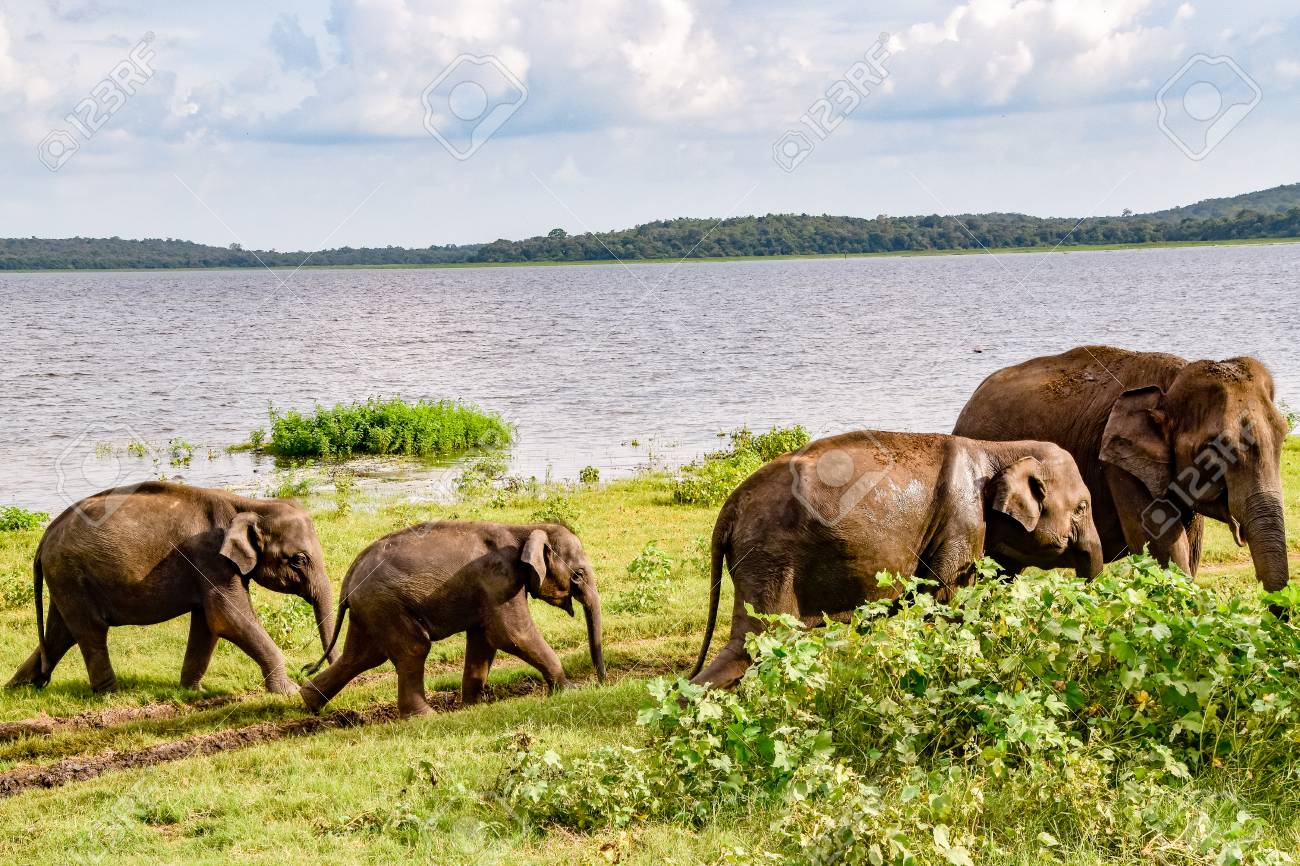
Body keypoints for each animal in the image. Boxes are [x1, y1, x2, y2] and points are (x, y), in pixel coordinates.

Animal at [6, 481, 336, 695]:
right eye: (298, 560)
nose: (308, 669)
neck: (249, 505)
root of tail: (46, 536)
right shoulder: (211, 559)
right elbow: (227, 617)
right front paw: (289, 691)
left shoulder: (208, 568)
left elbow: (208, 623)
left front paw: (194, 692)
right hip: (71, 574)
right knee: (90, 632)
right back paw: (111, 694)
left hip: (65, 578)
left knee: (60, 633)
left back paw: (19, 687)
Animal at [301, 520, 606, 718]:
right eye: (578, 575)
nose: (601, 683)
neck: (525, 528)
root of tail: (350, 575)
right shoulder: (499, 581)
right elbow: (510, 634)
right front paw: (570, 690)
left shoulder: (487, 591)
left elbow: (484, 640)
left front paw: (472, 706)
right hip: (385, 604)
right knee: (413, 649)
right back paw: (425, 717)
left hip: (371, 608)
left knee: (362, 656)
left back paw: (310, 703)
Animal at [690, 430, 1103, 688]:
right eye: (1083, 507)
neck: (996, 449)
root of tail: (730, 506)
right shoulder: (962, 522)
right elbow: (948, 600)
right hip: (769, 560)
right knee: (754, 644)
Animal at [953, 346, 1290, 593]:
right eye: (1212, 450)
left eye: (1283, 434)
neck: (1173, 381)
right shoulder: (1119, 467)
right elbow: (1165, 549)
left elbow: (1190, 550)